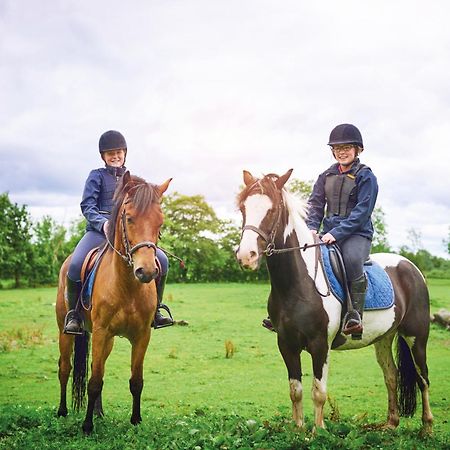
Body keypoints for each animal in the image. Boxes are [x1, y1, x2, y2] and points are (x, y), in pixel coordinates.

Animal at [54, 171, 171, 434]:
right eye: (129, 218)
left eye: (160, 222)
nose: (147, 271)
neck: (127, 286)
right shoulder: (100, 332)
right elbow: (94, 381)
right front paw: (87, 426)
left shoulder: (141, 336)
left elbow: (135, 381)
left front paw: (136, 420)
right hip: (66, 332)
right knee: (65, 369)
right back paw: (63, 412)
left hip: (107, 341)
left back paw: (98, 412)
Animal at [236, 170, 432, 436]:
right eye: (243, 208)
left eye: (272, 210)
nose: (246, 256)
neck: (299, 283)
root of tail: (410, 267)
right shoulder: (286, 344)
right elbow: (295, 390)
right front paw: (297, 430)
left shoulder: (320, 345)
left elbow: (318, 392)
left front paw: (318, 433)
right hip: (384, 337)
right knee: (391, 375)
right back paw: (390, 424)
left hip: (416, 337)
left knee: (423, 378)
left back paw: (427, 429)